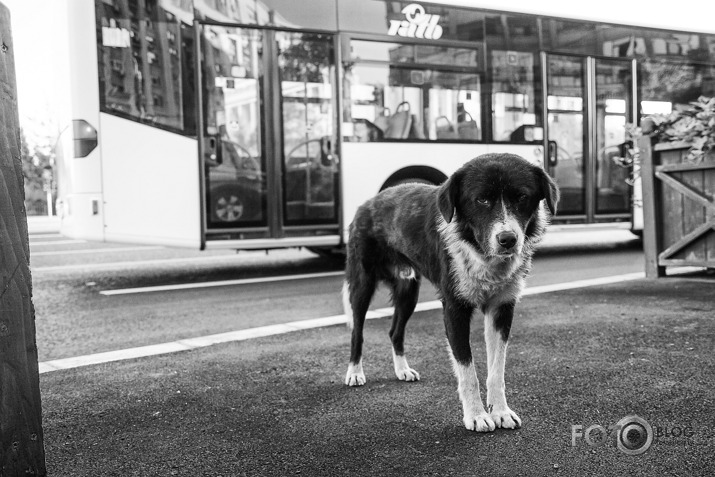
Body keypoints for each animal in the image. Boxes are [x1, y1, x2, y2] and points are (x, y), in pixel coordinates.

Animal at [342, 152, 560, 432]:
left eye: (522, 197)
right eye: (482, 199)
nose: (508, 239)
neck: (482, 254)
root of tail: (367, 203)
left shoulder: (502, 308)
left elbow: (496, 369)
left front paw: (500, 411)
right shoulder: (455, 309)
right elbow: (467, 370)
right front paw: (476, 415)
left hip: (408, 292)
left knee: (394, 331)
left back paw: (402, 370)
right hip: (362, 285)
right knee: (357, 332)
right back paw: (355, 372)